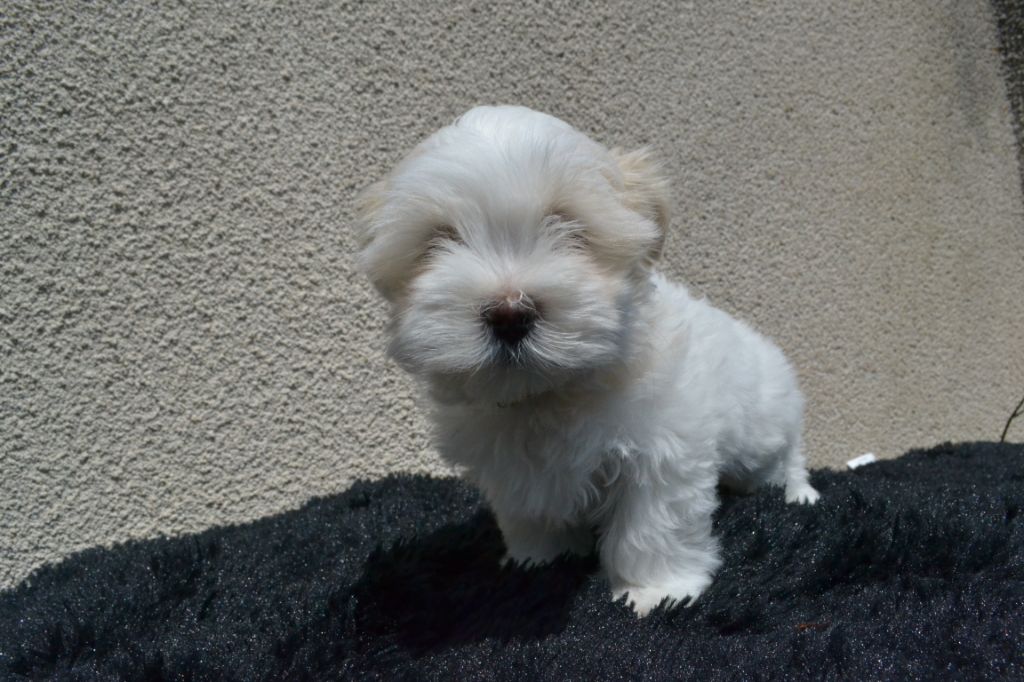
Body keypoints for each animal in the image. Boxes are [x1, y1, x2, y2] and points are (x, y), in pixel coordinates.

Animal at [356, 105, 819, 616]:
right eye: (439, 240)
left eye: (570, 228)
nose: (509, 313)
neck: (551, 393)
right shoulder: (514, 471)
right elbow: (530, 518)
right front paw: (536, 562)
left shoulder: (663, 448)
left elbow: (652, 526)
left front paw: (657, 591)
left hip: (766, 421)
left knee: (786, 458)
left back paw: (799, 492)